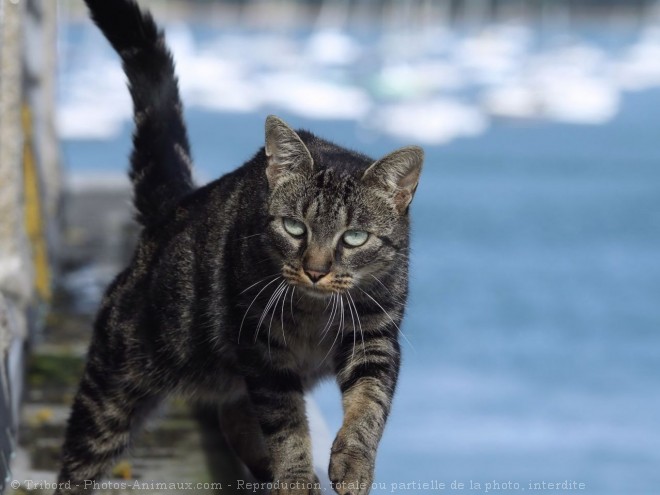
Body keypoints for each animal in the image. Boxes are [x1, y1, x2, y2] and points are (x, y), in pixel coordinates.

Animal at [58, 0, 422, 495]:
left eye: (354, 237)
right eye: (294, 227)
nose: (316, 270)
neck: (316, 311)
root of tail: (173, 207)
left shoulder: (375, 335)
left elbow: (370, 405)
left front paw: (352, 463)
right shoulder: (264, 350)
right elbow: (286, 425)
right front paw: (296, 476)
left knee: (233, 411)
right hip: (114, 387)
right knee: (79, 460)